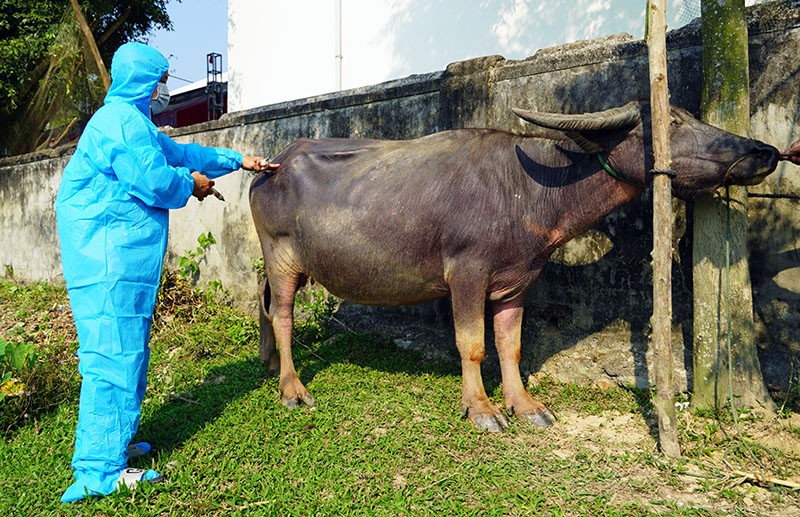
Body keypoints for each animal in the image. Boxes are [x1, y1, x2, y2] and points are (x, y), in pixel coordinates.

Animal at [248, 101, 776, 432]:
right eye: (672, 122)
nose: (763, 152)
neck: (529, 190)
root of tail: (271, 165)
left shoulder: (517, 282)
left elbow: (511, 345)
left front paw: (524, 406)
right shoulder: (466, 274)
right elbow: (473, 345)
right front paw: (481, 409)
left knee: (262, 300)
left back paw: (268, 363)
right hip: (280, 255)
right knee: (283, 313)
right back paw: (291, 387)